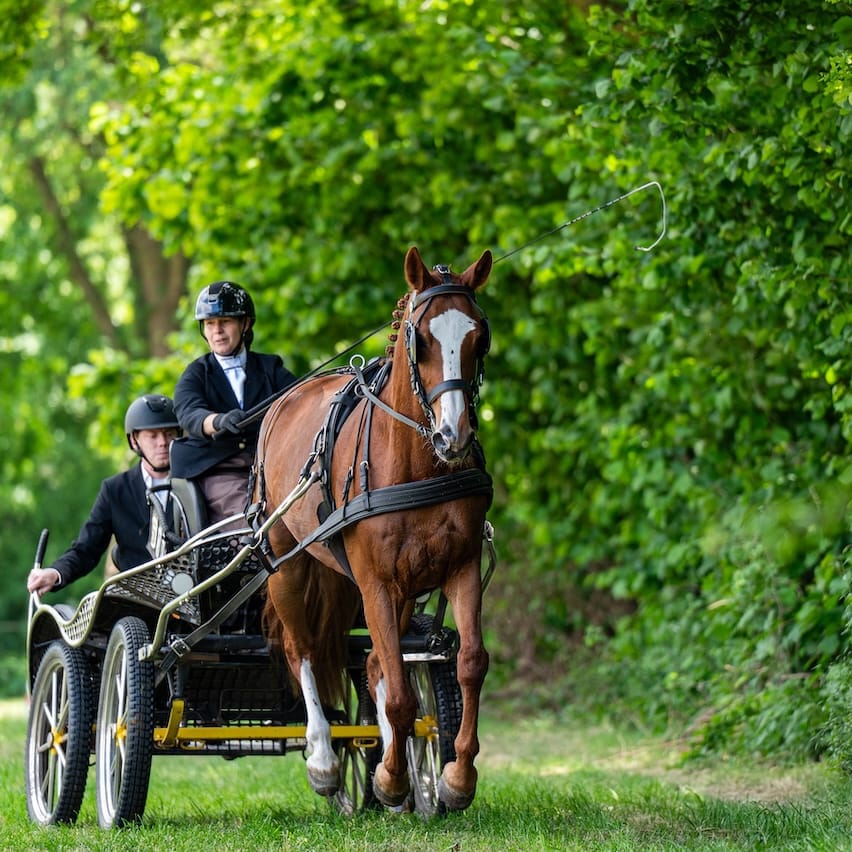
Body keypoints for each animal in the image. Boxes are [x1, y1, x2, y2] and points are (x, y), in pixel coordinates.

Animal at [254, 245, 493, 810]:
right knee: (304, 653)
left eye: (479, 337)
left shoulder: (461, 567)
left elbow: (468, 662)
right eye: (420, 338)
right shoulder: (375, 582)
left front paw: (451, 777)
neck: (419, 463)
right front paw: (394, 777)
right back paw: (324, 758)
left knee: (375, 667)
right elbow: (401, 694)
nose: (454, 435)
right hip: (287, 565)